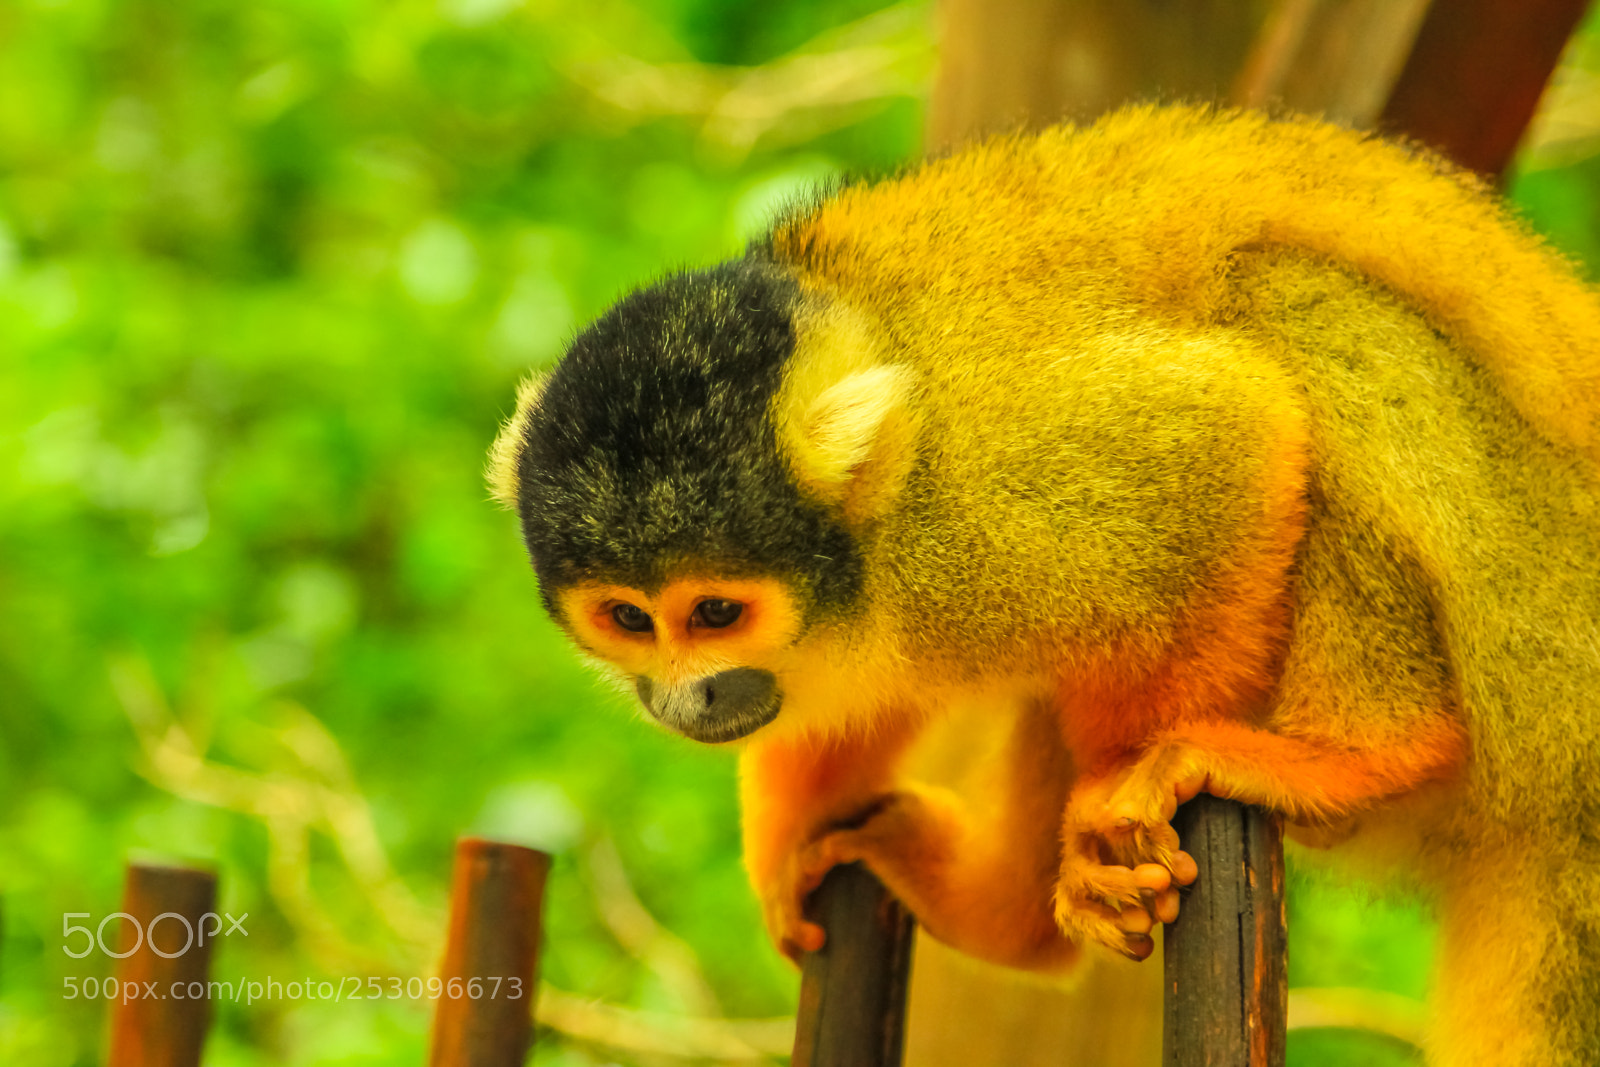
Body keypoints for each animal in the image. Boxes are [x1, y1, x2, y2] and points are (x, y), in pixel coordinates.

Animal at [487, 105, 1600, 1065]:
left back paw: (1357, 750)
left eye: (714, 612)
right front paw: (790, 840)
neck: (881, 539)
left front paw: (1121, 789)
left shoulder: (986, 503)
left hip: (1526, 623)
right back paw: (1005, 923)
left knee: (1294, 304)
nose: (688, 699)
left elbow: (1231, 424)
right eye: (630, 620)